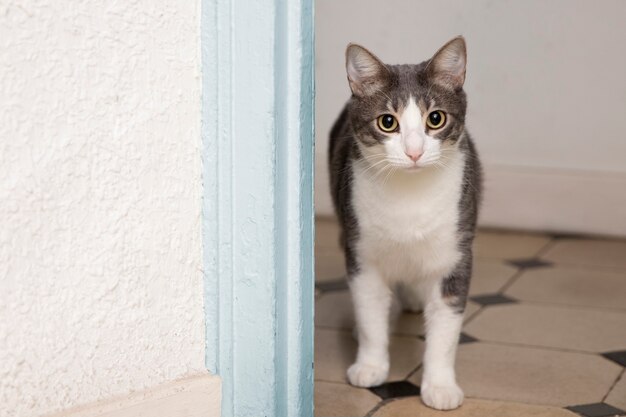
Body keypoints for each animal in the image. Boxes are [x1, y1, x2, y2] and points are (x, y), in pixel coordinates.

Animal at [330, 36, 480, 410]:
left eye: (436, 119)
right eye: (387, 122)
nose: (414, 152)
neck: (410, 196)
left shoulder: (456, 252)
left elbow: (446, 328)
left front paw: (440, 386)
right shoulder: (361, 250)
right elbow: (370, 311)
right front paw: (369, 366)